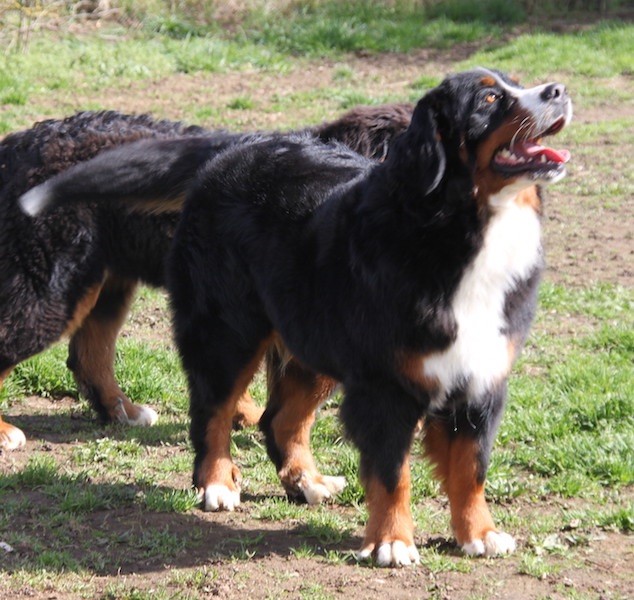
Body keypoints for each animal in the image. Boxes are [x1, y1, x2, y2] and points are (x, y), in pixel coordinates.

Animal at [0, 104, 412, 450]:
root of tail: (16, 147)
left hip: (106, 282)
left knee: (89, 353)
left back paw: (126, 412)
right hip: (47, 288)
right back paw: (6, 432)